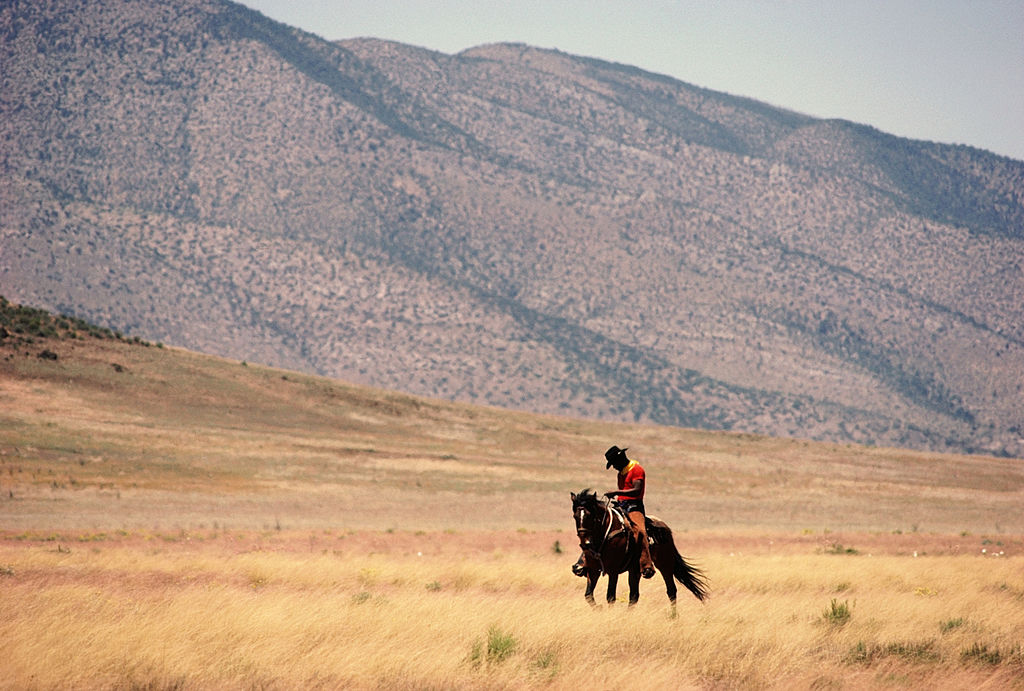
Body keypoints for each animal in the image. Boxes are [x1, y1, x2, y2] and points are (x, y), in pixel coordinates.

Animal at [573, 489, 708, 610]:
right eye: (575, 516)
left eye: (590, 516)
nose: (585, 543)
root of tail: (665, 528)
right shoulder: (593, 570)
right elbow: (588, 595)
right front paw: (599, 608)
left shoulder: (613, 570)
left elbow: (610, 597)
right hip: (635, 569)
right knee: (634, 596)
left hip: (665, 565)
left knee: (671, 591)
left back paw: (673, 617)